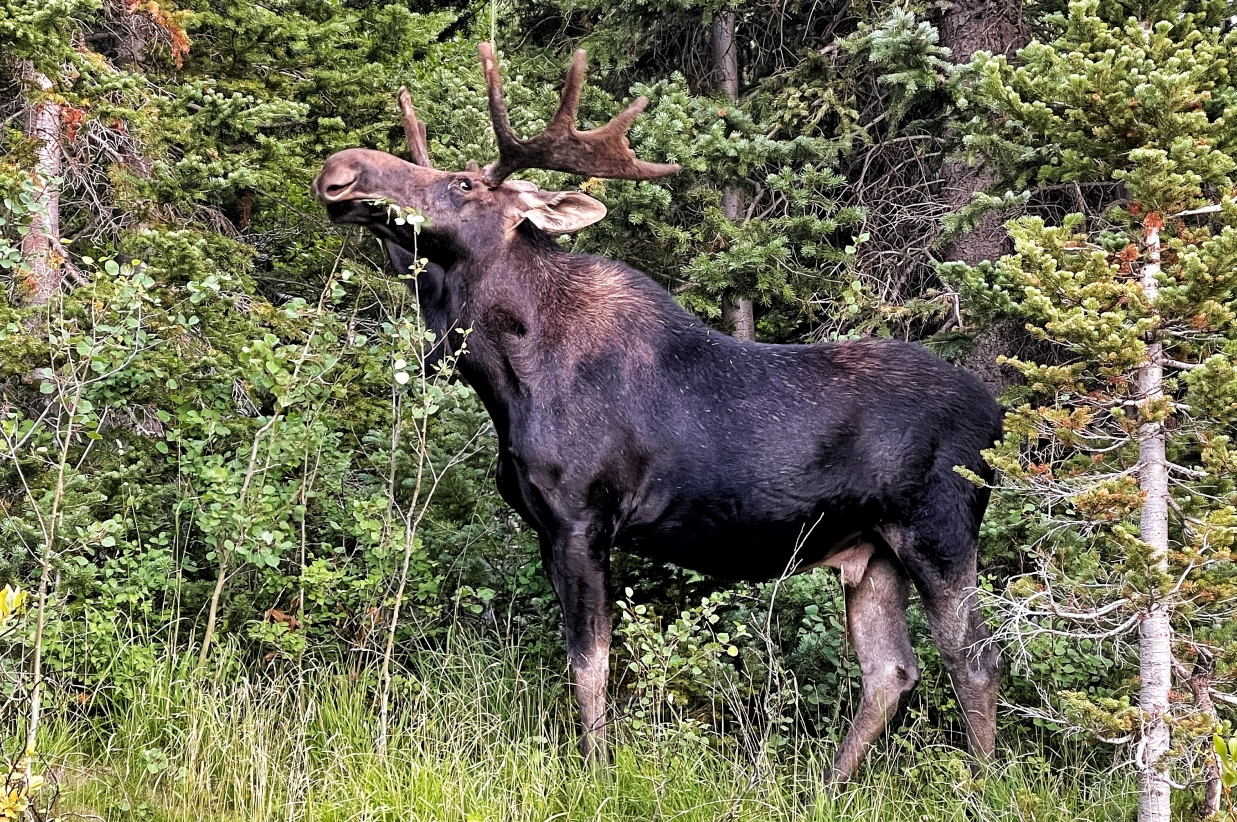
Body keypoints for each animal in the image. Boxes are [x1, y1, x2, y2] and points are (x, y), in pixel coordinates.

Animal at [313, 43, 1004, 784]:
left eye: (465, 184)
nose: (341, 170)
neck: (506, 376)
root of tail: (998, 420)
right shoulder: (545, 525)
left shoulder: (583, 518)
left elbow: (590, 663)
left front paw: (597, 771)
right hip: (871, 550)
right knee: (891, 670)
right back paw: (827, 786)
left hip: (937, 530)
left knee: (974, 660)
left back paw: (982, 787)